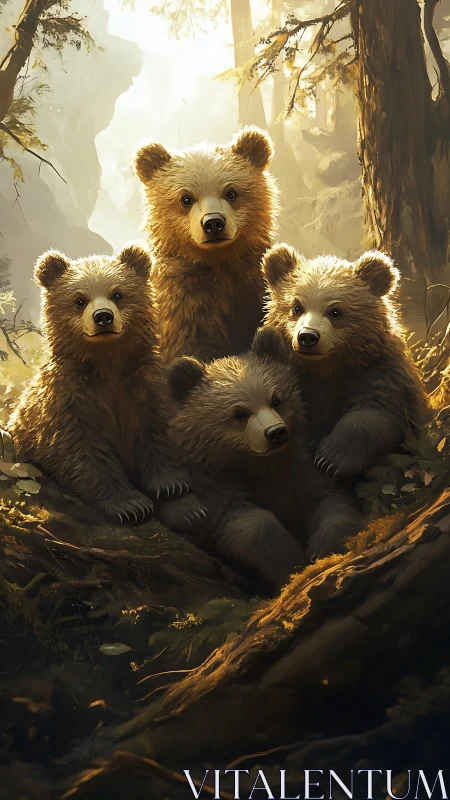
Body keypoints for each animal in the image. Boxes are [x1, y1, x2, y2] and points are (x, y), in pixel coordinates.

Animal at [8, 244, 190, 523]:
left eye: (118, 294)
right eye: (79, 300)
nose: (103, 317)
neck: (107, 363)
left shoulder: (144, 385)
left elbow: (156, 428)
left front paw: (171, 483)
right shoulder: (68, 397)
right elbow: (82, 450)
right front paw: (131, 505)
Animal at [134, 126, 279, 363]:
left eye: (231, 192)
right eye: (185, 198)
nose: (213, 223)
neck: (217, 262)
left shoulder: (251, 283)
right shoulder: (184, 298)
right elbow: (191, 342)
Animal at [158, 327, 360, 591]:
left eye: (276, 400)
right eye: (239, 414)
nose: (276, 433)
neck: (256, 465)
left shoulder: (298, 468)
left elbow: (329, 500)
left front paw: (324, 548)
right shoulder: (216, 483)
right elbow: (248, 522)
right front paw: (290, 565)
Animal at [262, 245, 429, 480]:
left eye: (335, 312)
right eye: (296, 307)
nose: (307, 337)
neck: (327, 368)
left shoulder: (379, 368)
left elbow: (378, 409)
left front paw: (330, 458)